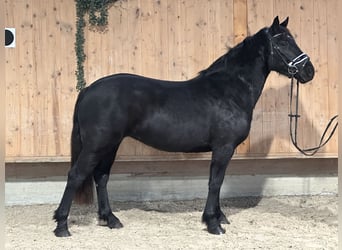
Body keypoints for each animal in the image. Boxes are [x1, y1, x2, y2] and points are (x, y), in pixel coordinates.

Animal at [54, 17, 316, 236]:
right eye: (283, 42)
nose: (309, 71)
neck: (230, 90)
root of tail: (88, 89)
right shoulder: (223, 148)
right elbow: (215, 183)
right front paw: (213, 223)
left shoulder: (222, 150)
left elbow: (217, 182)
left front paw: (219, 217)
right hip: (97, 145)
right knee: (76, 175)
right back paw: (62, 226)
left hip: (110, 145)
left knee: (101, 177)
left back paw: (111, 219)